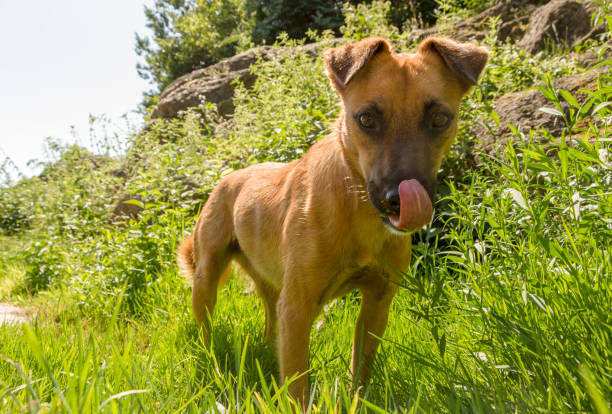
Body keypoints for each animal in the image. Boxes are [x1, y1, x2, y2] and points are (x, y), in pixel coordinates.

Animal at [177, 37, 488, 402]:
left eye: (440, 119)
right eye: (365, 118)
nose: (397, 200)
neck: (357, 210)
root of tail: (228, 178)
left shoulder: (377, 303)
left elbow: (360, 370)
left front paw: (357, 400)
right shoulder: (297, 308)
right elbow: (297, 388)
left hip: (270, 284)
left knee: (269, 323)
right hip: (206, 279)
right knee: (207, 333)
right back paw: (215, 366)